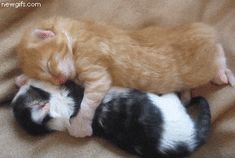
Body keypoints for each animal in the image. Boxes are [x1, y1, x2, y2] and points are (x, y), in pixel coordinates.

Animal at [11, 78, 211, 158]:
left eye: (29, 92)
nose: (20, 87)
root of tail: (191, 141)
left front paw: (21, 80)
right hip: (171, 103)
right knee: (181, 98)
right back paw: (185, 91)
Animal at [16, 17, 233, 137]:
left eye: (48, 66)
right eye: (48, 78)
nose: (60, 81)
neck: (76, 37)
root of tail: (207, 30)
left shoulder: (98, 75)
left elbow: (87, 103)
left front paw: (80, 127)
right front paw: (22, 79)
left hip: (207, 64)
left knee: (220, 57)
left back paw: (224, 75)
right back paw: (188, 93)